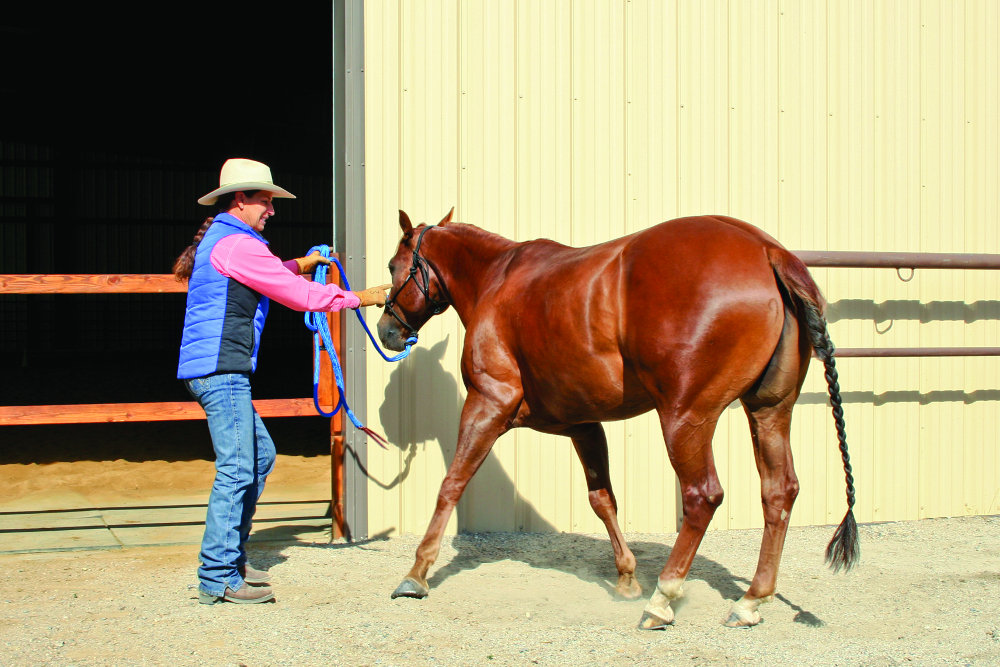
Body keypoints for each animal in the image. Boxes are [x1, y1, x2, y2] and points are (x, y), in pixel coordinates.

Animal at [376, 211, 860, 628]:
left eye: (394, 264)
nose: (387, 330)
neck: (497, 279)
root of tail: (766, 251)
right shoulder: (583, 424)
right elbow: (602, 498)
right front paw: (626, 577)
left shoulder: (487, 403)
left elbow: (452, 484)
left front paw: (416, 573)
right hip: (769, 411)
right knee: (779, 492)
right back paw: (750, 600)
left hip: (685, 418)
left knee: (703, 496)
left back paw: (663, 598)